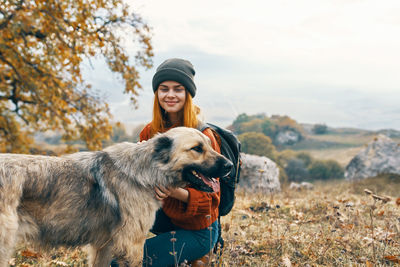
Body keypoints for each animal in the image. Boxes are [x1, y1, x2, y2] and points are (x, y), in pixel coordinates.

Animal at [0, 127, 231, 267]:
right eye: (196, 149)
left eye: (209, 145)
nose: (229, 166)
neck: (146, 170)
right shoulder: (132, 245)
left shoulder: (103, 246)